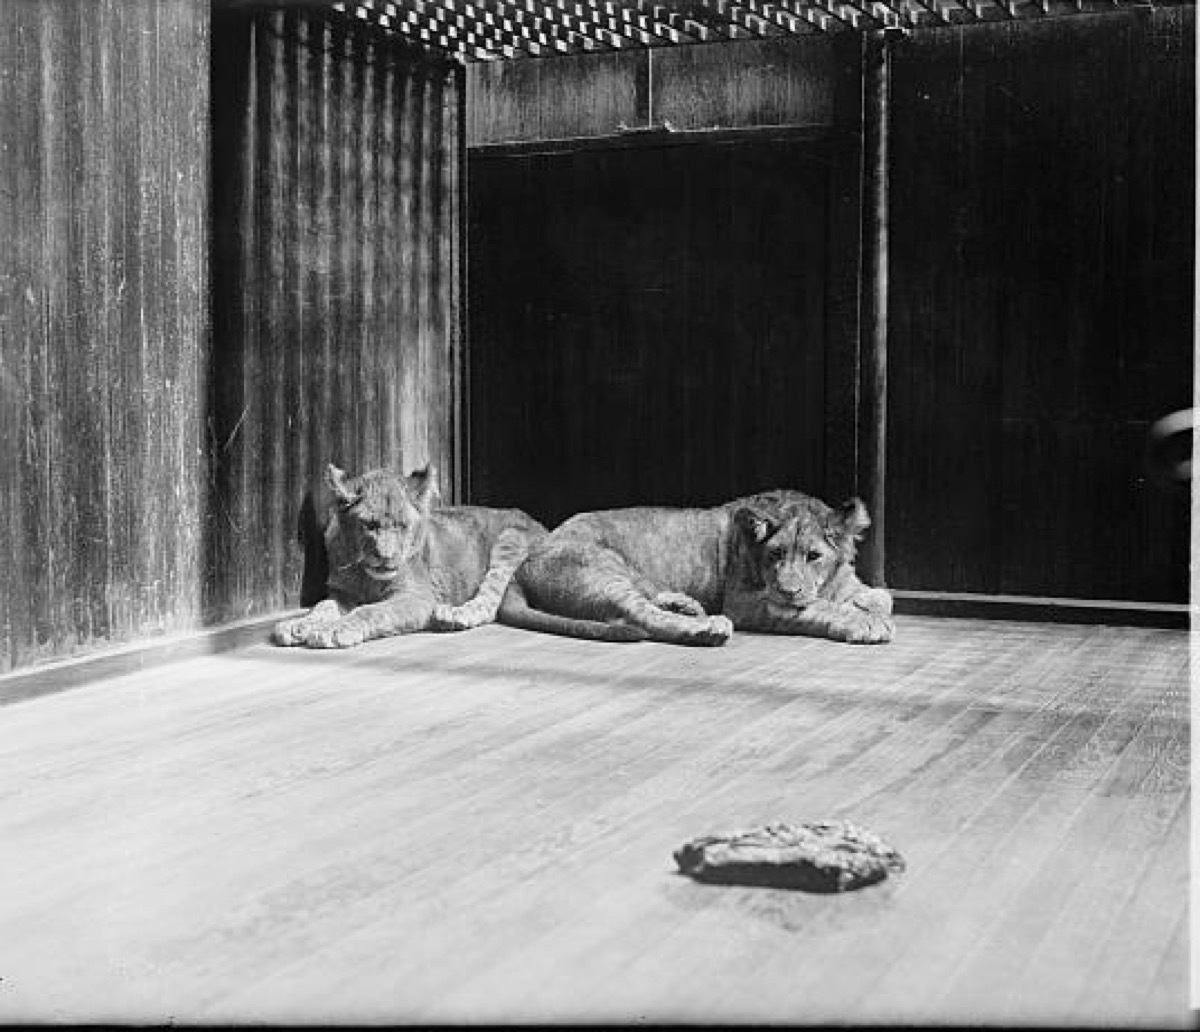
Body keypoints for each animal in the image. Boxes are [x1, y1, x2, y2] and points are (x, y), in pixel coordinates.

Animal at [273, 463, 549, 649]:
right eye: (369, 525)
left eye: (402, 526)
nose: (386, 557)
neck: (365, 576)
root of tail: (544, 527)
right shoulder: (343, 594)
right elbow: (323, 606)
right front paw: (298, 625)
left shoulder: (416, 597)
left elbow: (370, 611)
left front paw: (334, 630)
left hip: (510, 539)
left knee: (490, 599)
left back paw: (453, 615)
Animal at [497, 489, 894, 647]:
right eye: (774, 555)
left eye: (813, 556)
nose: (787, 590)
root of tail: (524, 562)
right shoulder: (745, 602)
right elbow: (816, 607)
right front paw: (865, 623)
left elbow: (882, 596)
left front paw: (868, 607)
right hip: (605, 572)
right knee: (638, 617)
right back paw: (705, 626)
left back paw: (685, 604)